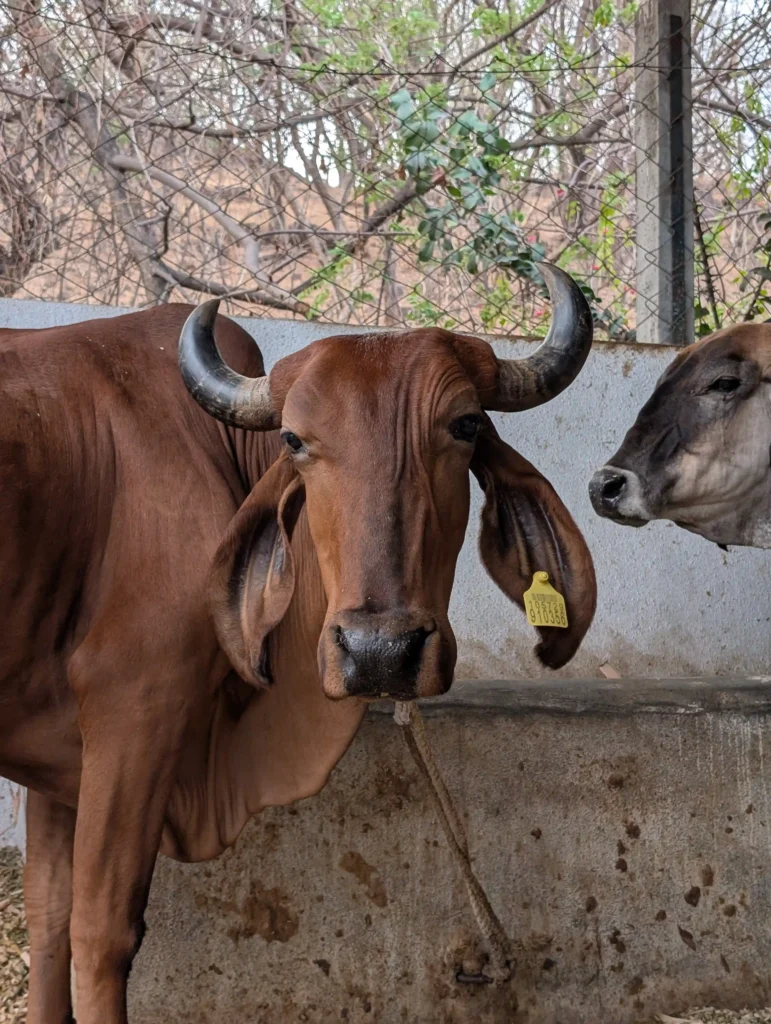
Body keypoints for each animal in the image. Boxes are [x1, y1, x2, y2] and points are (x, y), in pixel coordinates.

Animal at [0, 264, 596, 1024]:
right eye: (293, 440)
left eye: (465, 424)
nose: (379, 650)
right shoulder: (132, 708)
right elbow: (100, 935)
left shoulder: (62, 760)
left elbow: (49, 928)